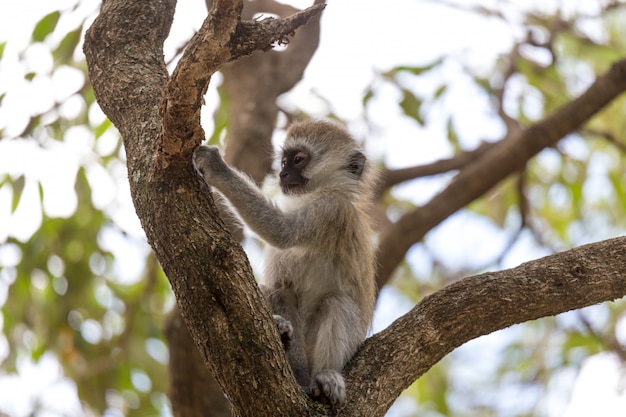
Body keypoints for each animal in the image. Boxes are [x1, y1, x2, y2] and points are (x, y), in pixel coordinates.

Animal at [191, 118, 376, 404]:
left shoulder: (330, 208)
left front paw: (216, 167)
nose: (282, 174)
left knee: (338, 303)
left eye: (298, 160)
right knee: (274, 290)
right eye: (284, 161)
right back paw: (282, 333)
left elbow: (282, 232)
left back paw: (324, 377)